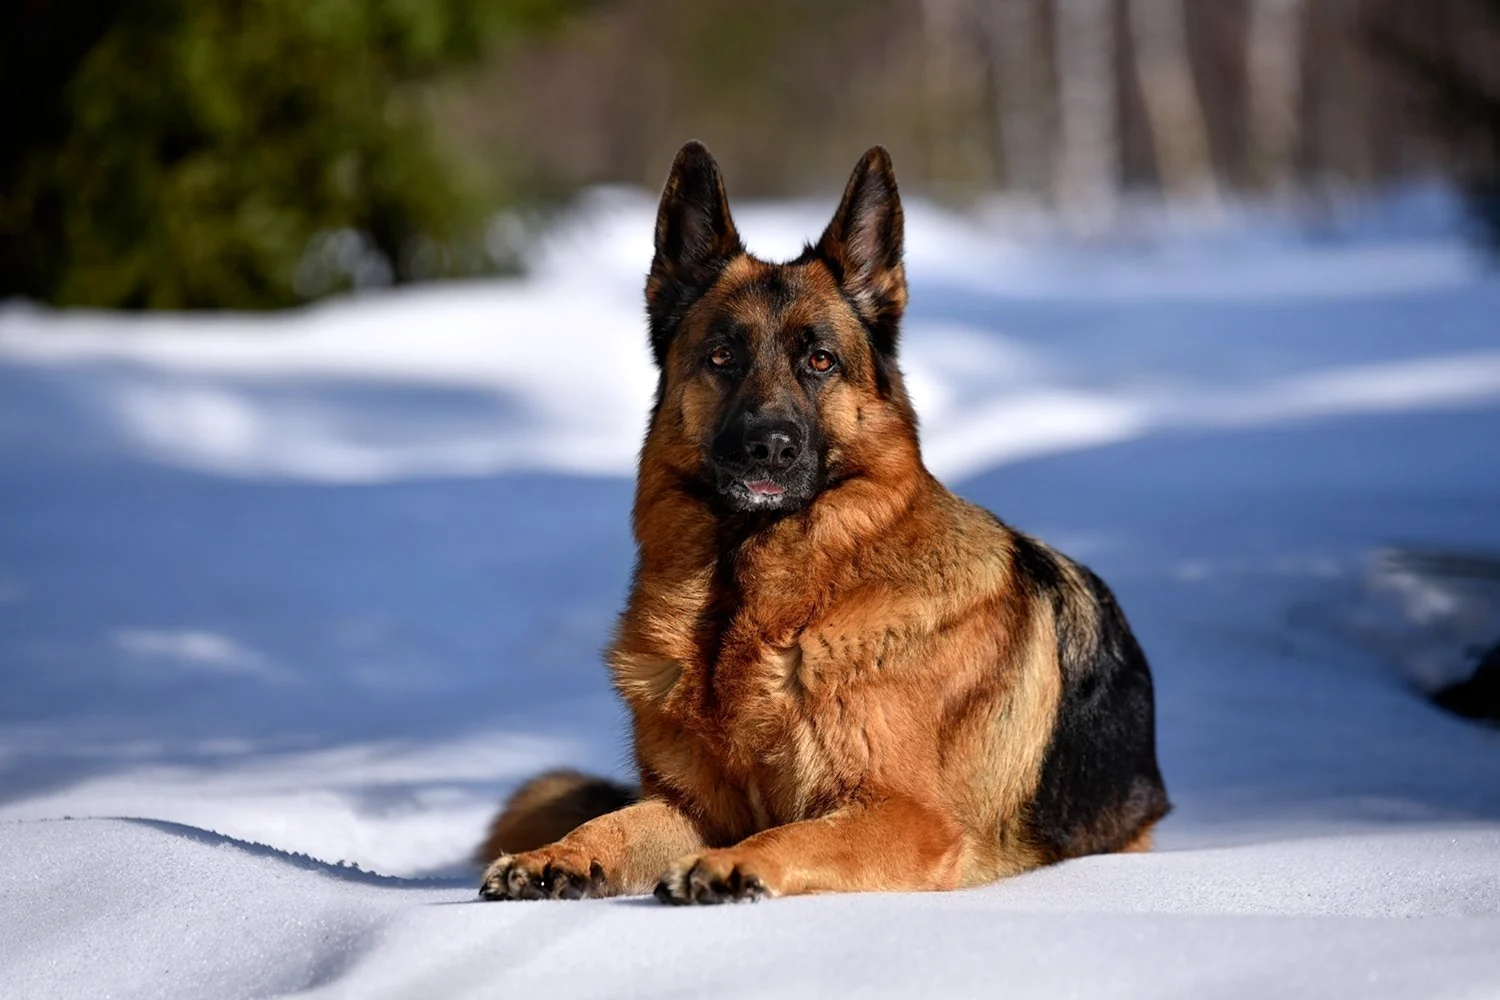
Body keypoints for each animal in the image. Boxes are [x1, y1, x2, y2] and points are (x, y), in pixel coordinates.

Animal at [480, 142, 1170, 905]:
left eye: (820, 361)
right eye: (722, 356)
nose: (769, 447)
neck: (750, 601)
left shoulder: (907, 816)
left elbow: (794, 833)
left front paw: (733, 864)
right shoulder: (692, 806)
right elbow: (616, 823)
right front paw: (557, 854)